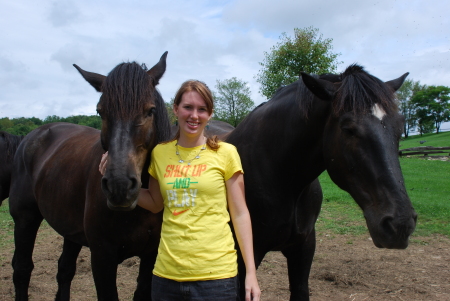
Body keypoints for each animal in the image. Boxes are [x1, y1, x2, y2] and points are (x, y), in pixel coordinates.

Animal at [11, 52, 172, 298]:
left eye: (150, 110)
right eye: (100, 111)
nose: (119, 186)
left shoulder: (152, 256)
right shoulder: (102, 256)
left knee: (65, 270)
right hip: (24, 218)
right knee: (22, 269)